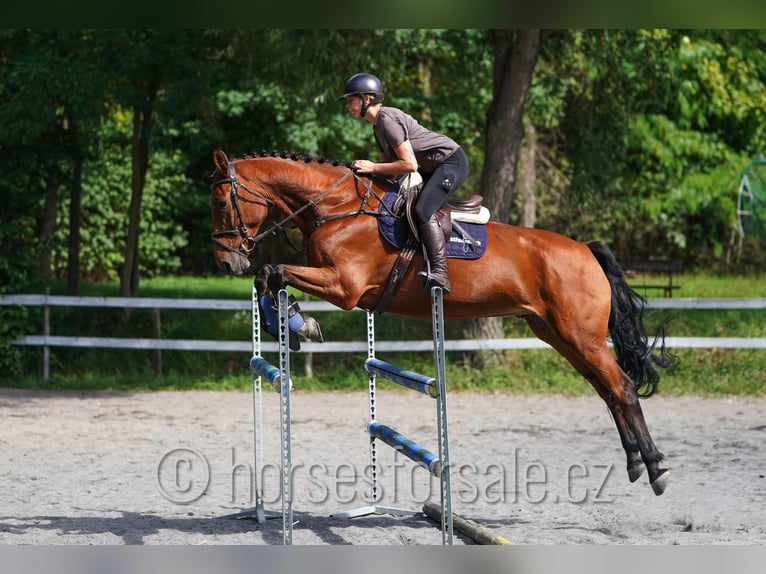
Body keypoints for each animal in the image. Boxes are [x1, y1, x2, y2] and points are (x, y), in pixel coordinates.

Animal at [209, 148, 676, 496]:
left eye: (220, 201)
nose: (226, 262)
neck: (336, 208)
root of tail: (584, 249)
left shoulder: (344, 287)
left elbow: (272, 272)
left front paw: (296, 324)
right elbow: (269, 276)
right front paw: (291, 324)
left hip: (581, 337)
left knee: (623, 388)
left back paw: (656, 468)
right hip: (560, 336)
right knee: (607, 391)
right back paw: (635, 463)